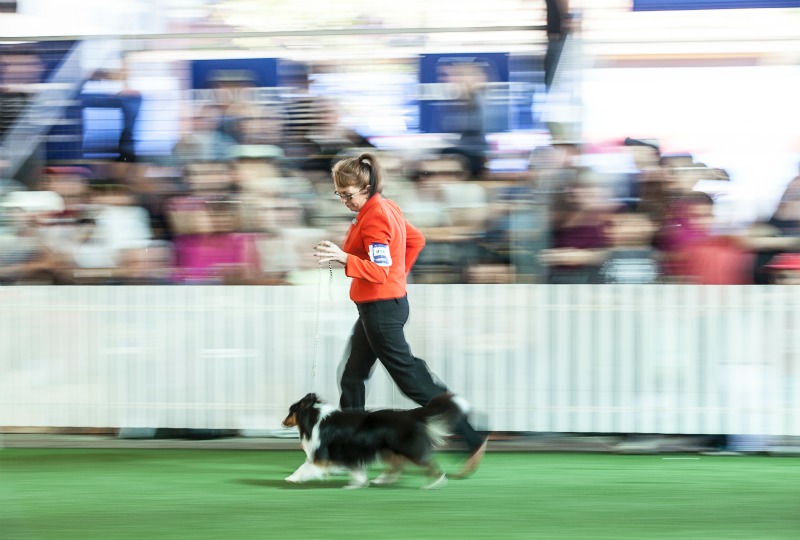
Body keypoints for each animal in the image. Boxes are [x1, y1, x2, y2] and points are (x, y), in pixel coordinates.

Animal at [282, 392, 466, 490]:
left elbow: (305, 467)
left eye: (291, 412)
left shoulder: (322, 455)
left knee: (429, 463)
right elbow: (356, 471)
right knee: (397, 465)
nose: (283, 422)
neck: (313, 418)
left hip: (408, 449)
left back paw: (435, 483)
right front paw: (359, 484)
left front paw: (291, 479)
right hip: (387, 450)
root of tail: (411, 415)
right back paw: (383, 480)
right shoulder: (350, 454)